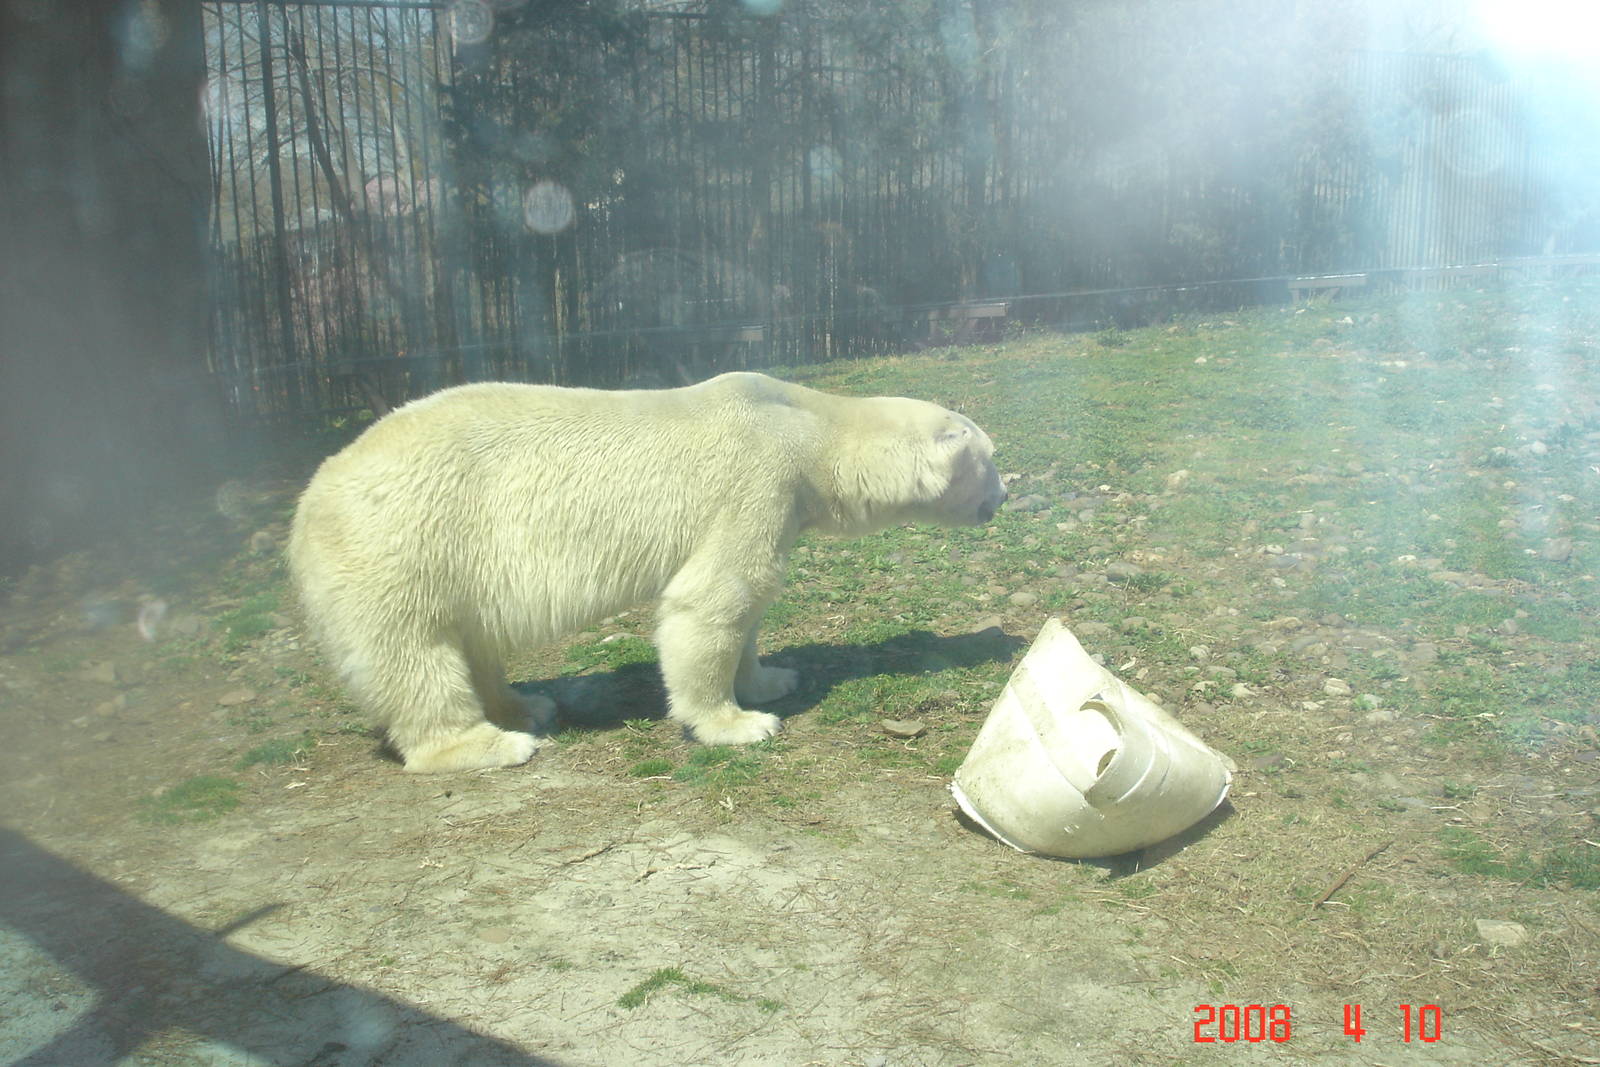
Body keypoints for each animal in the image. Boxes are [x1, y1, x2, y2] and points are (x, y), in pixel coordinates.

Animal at [286, 371, 1006, 773]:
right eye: (991, 458)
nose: (1003, 498)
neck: (805, 425)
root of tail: (307, 502)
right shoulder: (754, 482)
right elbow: (711, 599)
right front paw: (738, 724)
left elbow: (749, 608)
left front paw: (771, 679)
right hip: (404, 544)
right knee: (415, 655)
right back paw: (492, 743)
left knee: (471, 642)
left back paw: (529, 706)